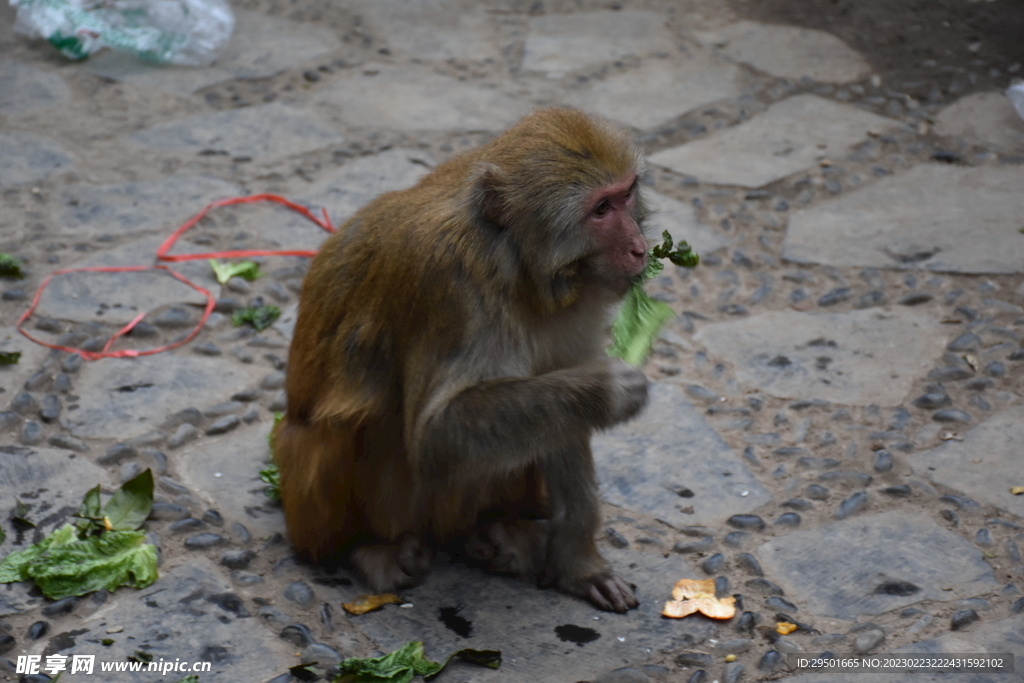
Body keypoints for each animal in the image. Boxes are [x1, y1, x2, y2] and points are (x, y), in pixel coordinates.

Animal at [274, 108, 647, 614]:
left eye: (627, 194)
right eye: (601, 210)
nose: (640, 247)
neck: (520, 266)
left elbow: (563, 412)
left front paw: (579, 565)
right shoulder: (451, 284)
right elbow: (435, 435)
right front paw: (605, 391)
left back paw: (498, 532)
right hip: (316, 504)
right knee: (357, 421)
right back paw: (371, 551)